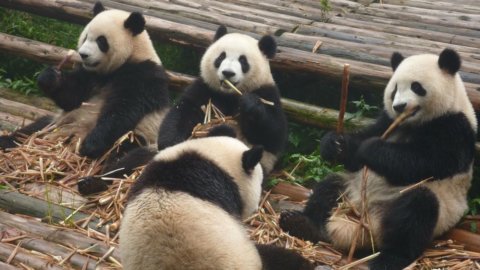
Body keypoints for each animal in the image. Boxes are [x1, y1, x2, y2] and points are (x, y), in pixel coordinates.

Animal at [0, 3, 171, 194]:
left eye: (101, 41)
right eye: (86, 37)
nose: (83, 55)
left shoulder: (143, 77)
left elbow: (122, 111)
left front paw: (90, 145)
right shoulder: (89, 75)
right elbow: (72, 97)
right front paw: (50, 77)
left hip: (143, 137)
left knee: (129, 157)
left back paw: (94, 182)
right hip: (56, 124)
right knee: (33, 129)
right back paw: (6, 141)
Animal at [158, 25, 286, 175]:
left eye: (243, 61)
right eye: (221, 57)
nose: (228, 73)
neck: (229, 95)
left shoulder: (267, 92)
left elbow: (273, 135)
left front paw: (250, 104)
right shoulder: (206, 89)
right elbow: (183, 112)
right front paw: (171, 143)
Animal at [278, 49, 476, 270]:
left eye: (416, 87)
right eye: (394, 89)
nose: (399, 106)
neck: (412, 123)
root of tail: (361, 226)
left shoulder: (454, 127)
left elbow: (425, 161)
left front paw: (371, 149)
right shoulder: (387, 121)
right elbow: (361, 145)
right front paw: (335, 144)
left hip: (435, 210)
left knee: (416, 211)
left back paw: (390, 259)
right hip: (350, 190)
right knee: (329, 186)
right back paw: (301, 223)